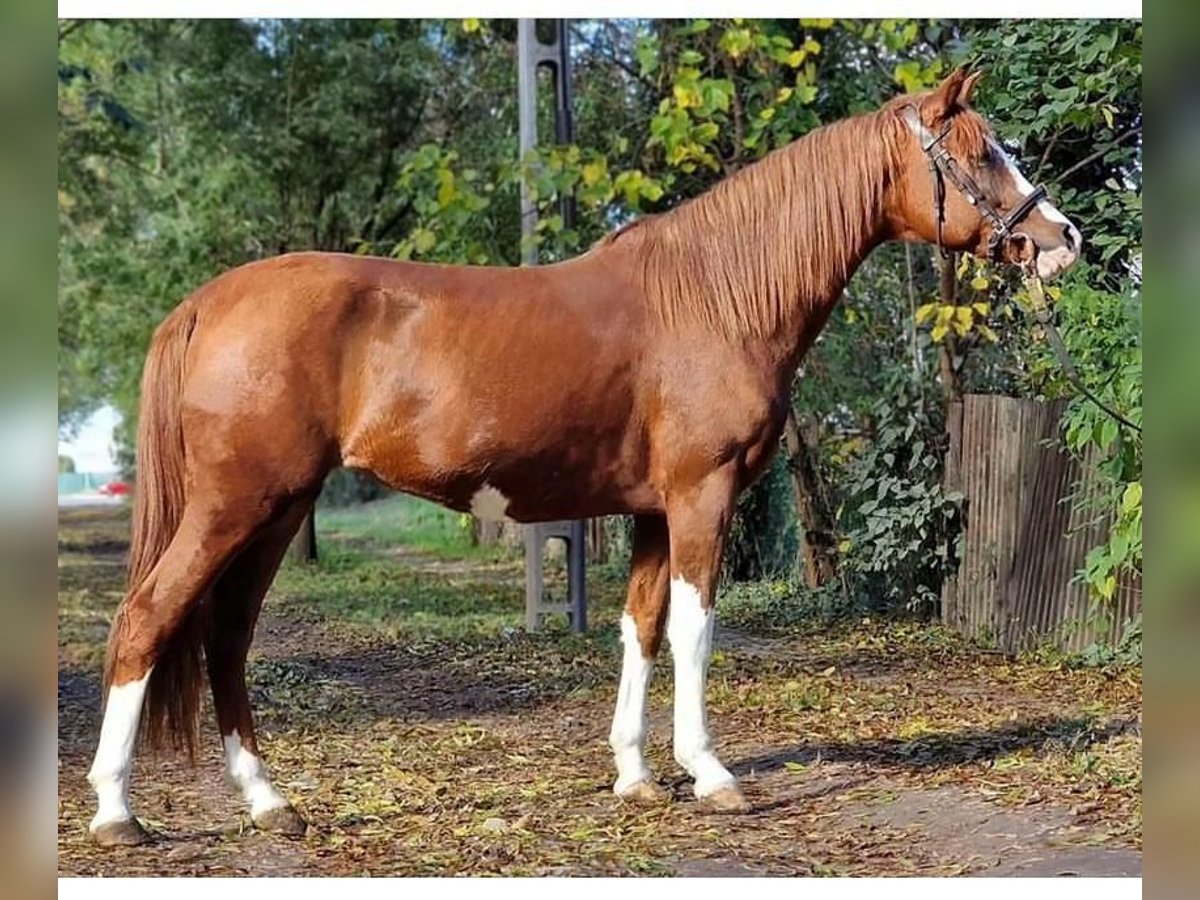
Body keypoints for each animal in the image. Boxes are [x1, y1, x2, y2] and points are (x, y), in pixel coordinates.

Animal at [87, 68, 1080, 844]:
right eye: (982, 153)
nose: (1061, 239)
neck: (715, 294)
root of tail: (207, 302)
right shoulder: (701, 496)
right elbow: (693, 629)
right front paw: (711, 774)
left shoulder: (651, 509)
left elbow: (639, 628)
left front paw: (636, 777)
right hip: (234, 505)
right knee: (147, 620)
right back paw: (116, 812)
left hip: (277, 511)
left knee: (225, 639)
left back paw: (268, 802)